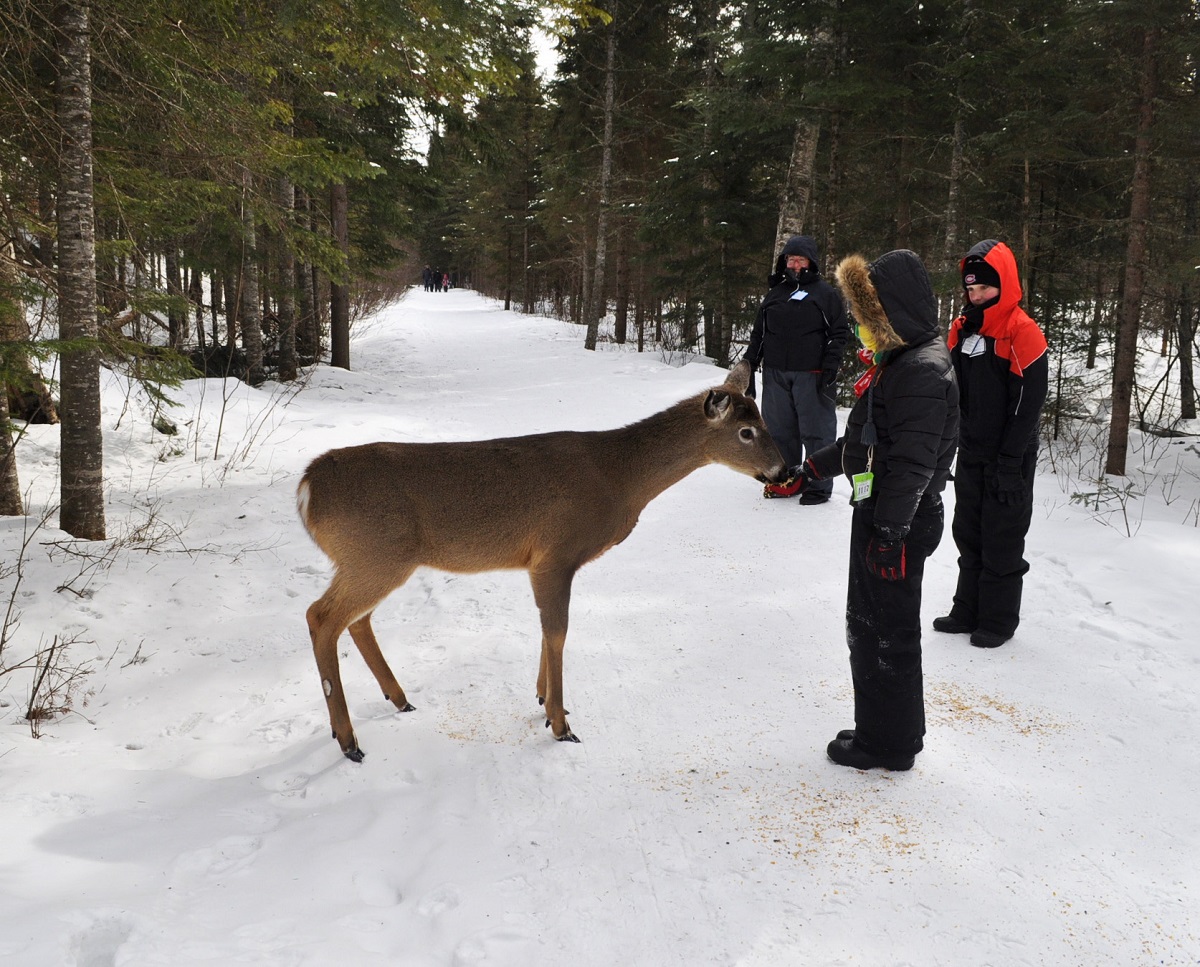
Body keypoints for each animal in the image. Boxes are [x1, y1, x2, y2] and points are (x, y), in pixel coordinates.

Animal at [296, 359, 787, 763]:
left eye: (762, 421)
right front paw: (561, 723)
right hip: (376, 553)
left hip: (375, 559)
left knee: (356, 620)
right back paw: (349, 740)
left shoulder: (542, 561)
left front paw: (543, 700)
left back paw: (399, 700)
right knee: (321, 617)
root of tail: (306, 489)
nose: (785, 470)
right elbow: (558, 631)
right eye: (746, 432)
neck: (619, 478)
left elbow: (546, 628)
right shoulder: (557, 552)